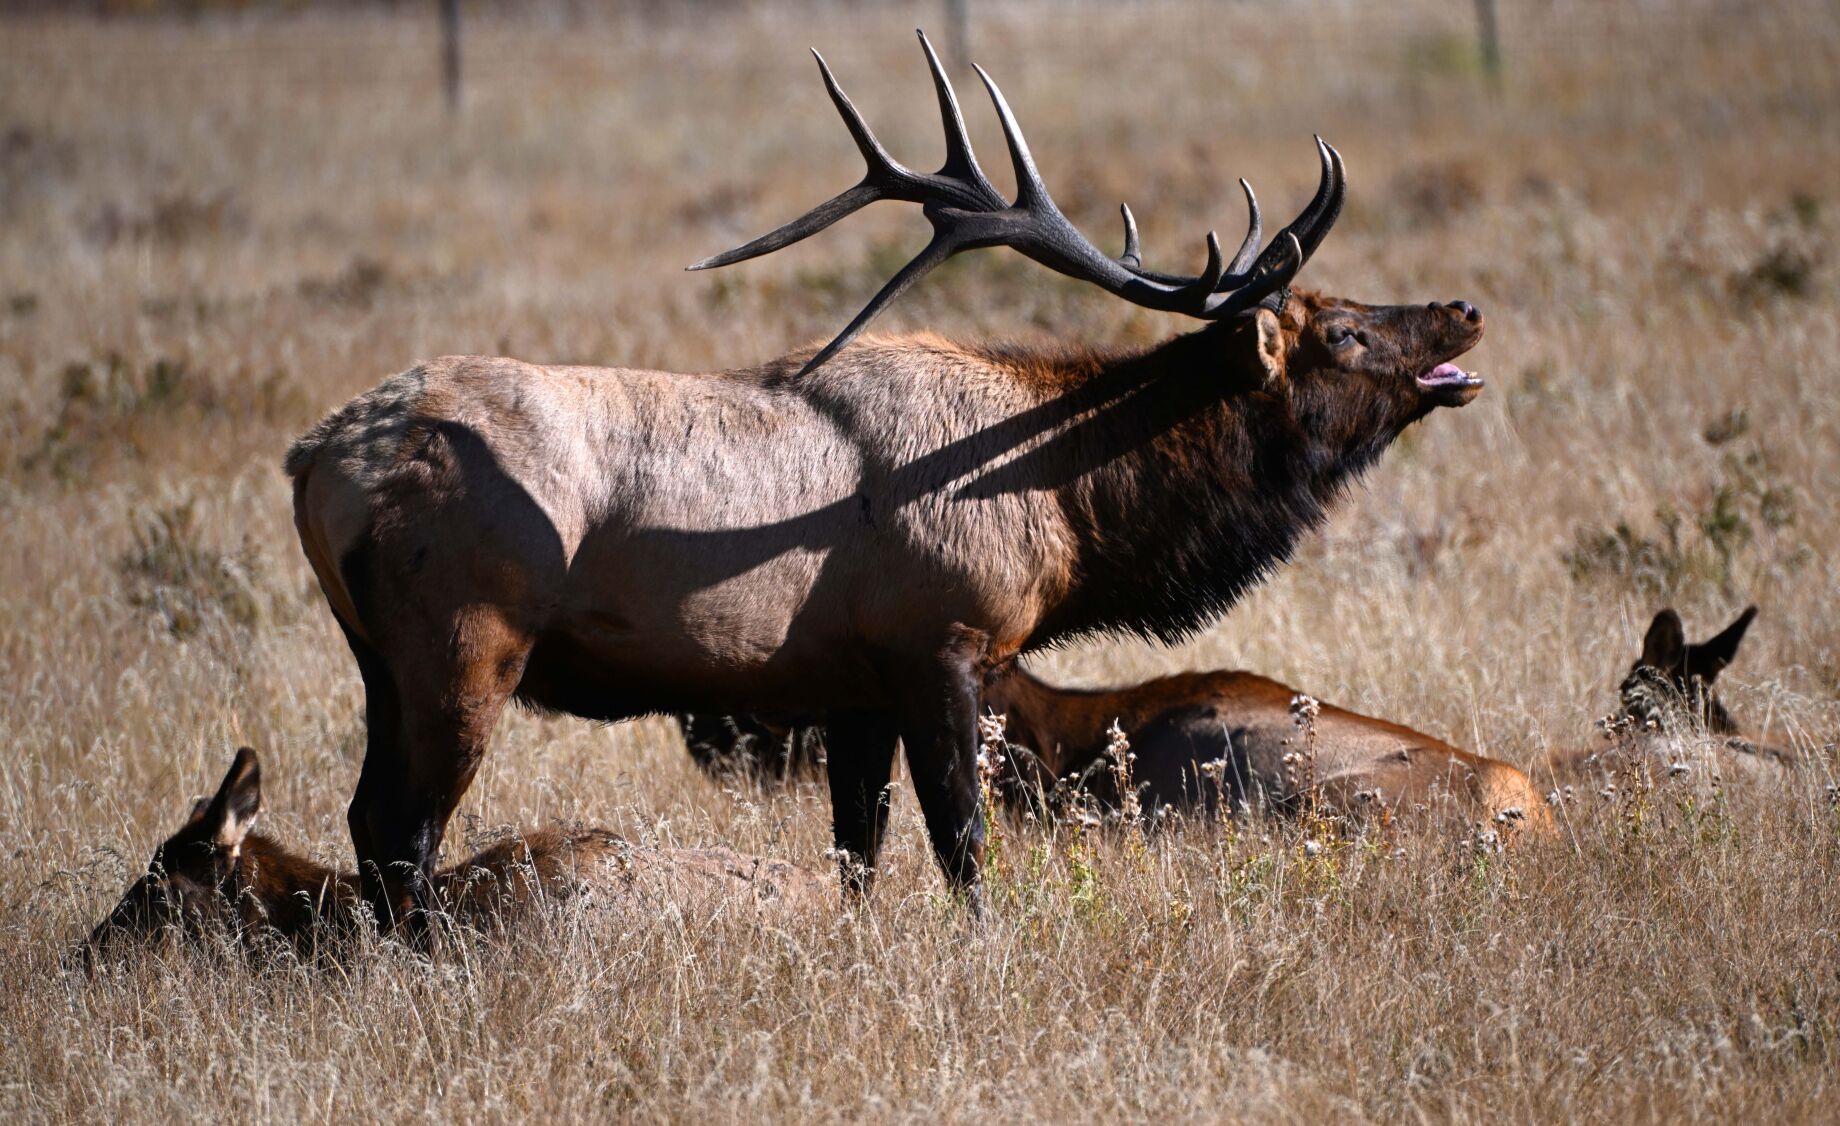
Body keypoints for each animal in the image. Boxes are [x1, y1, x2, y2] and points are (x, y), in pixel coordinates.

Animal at [285, 31, 1489, 931]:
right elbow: (962, 846)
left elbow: (858, 856)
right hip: (464, 645)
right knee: (401, 832)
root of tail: (313, 460)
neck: (1064, 508)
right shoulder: (938, 642)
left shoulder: (848, 680)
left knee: (365, 821)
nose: (1463, 309)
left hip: (380, 659)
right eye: (1342, 331)